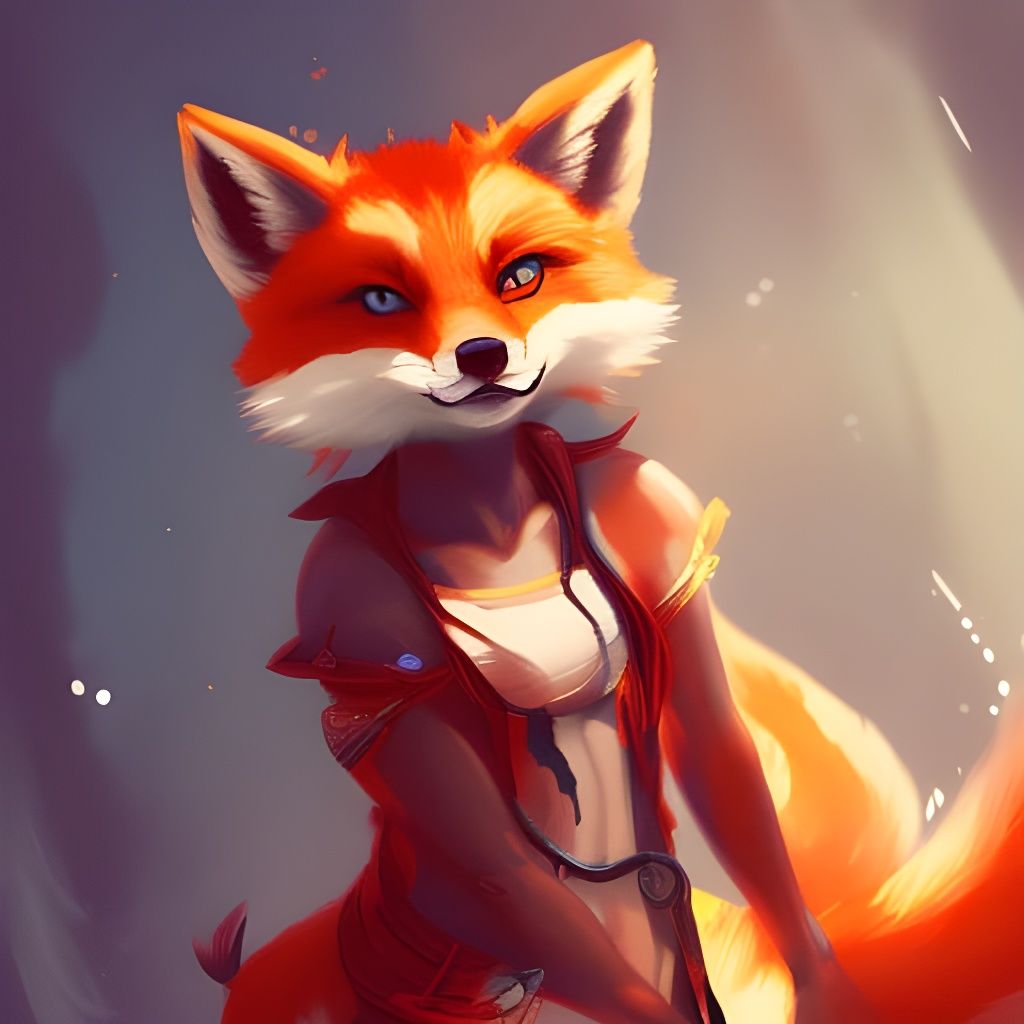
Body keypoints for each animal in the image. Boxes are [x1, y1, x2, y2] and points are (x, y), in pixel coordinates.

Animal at [178, 40, 1024, 1024]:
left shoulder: (655, 538)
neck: (489, 512)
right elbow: (498, 855)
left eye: (521, 276)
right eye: (382, 300)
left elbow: (722, 757)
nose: (482, 356)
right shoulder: (350, 615)